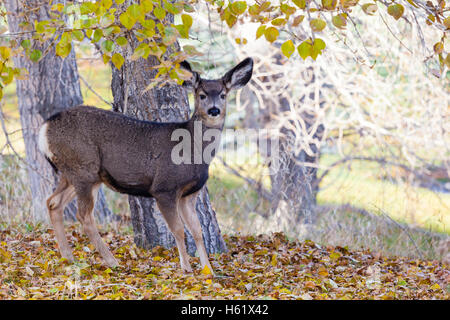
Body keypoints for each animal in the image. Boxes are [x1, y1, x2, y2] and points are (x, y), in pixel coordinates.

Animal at [37, 57, 253, 272]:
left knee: (53, 202)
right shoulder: (164, 187)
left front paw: (208, 270)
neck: (193, 149)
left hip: (76, 173)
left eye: (223, 94)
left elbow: (197, 230)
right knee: (84, 215)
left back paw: (68, 257)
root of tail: (45, 129)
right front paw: (186, 268)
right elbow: (178, 229)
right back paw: (111, 261)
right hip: (83, 168)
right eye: (202, 95)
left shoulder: (189, 194)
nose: (214, 110)